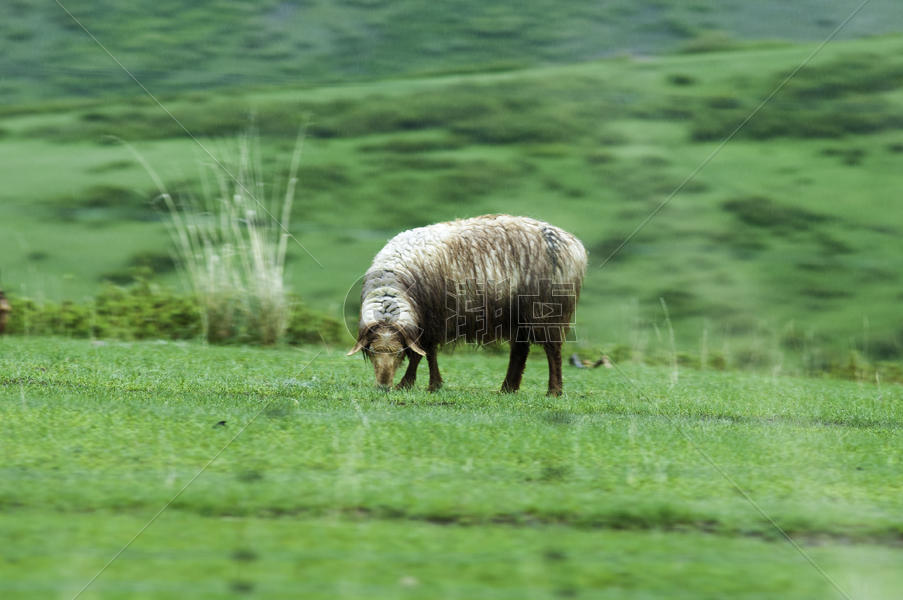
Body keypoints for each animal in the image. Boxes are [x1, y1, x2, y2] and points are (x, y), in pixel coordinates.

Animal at [346, 213, 588, 396]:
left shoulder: (432, 319)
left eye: (398, 353)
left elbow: (421, 354)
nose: (383, 386)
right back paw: (507, 388)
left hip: (548, 311)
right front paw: (430, 384)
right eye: (372, 351)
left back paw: (554, 390)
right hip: (517, 316)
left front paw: (412, 384)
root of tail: (573, 244)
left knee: (553, 350)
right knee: (520, 350)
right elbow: (428, 354)